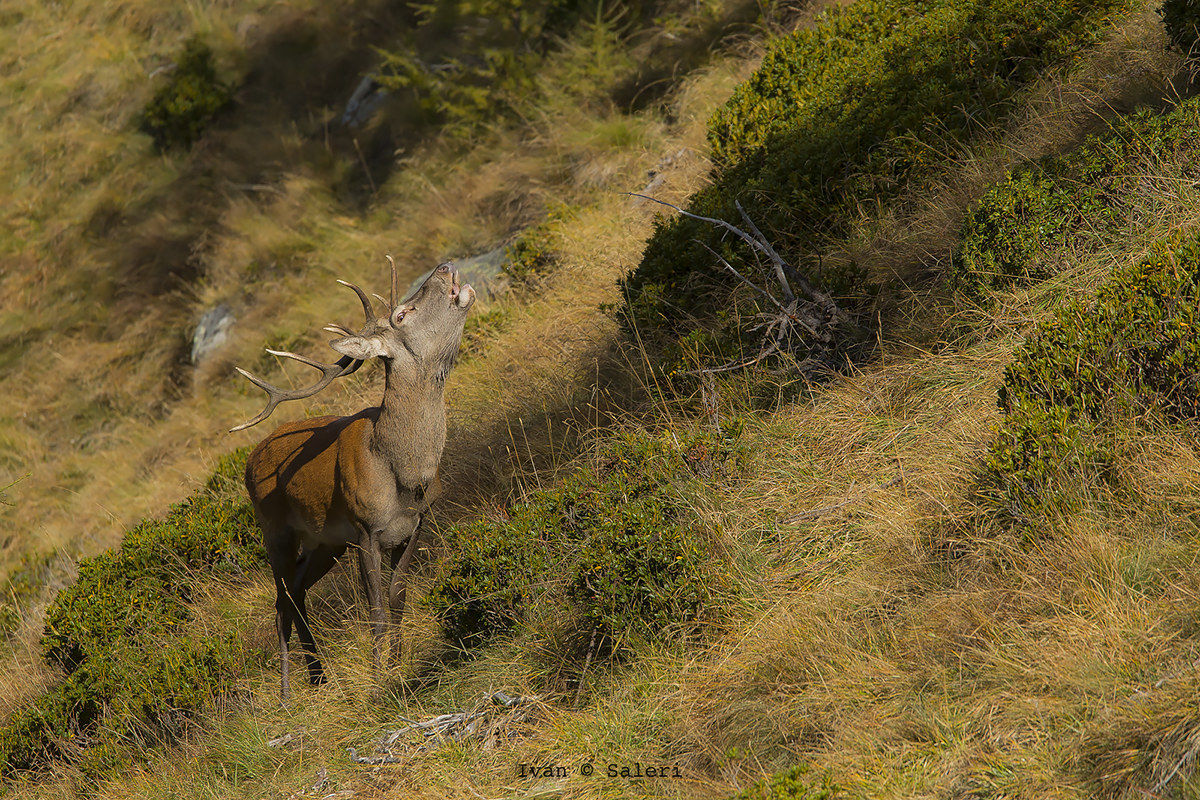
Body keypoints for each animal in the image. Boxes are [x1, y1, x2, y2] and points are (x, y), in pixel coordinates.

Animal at [229, 256, 475, 700]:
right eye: (402, 314)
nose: (446, 266)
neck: (403, 477)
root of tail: (249, 460)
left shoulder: (414, 525)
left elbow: (397, 597)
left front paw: (397, 661)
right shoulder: (365, 530)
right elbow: (374, 609)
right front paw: (379, 676)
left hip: (325, 542)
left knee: (298, 591)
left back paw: (318, 677)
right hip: (274, 529)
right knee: (281, 599)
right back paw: (288, 692)